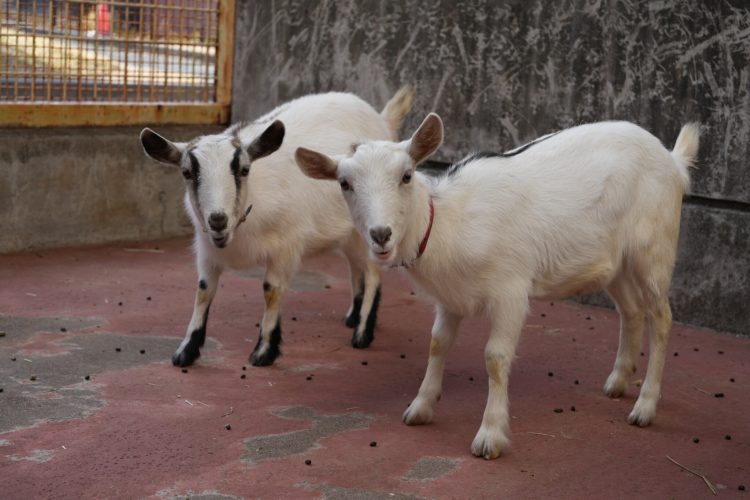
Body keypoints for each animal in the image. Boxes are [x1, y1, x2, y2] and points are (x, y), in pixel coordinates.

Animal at [139, 87, 414, 367]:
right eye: (186, 173)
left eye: (244, 169)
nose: (217, 220)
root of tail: (382, 120)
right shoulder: (207, 249)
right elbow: (204, 290)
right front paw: (186, 350)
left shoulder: (286, 247)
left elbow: (271, 290)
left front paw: (264, 351)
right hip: (348, 234)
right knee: (354, 267)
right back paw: (353, 317)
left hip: (370, 227)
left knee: (372, 273)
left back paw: (362, 333)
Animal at [295, 113, 699, 459]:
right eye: (344, 184)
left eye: (407, 175)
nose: (380, 235)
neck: (448, 223)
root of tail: (672, 160)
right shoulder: (450, 299)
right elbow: (437, 343)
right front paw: (420, 408)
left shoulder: (511, 291)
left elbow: (495, 358)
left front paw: (490, 436)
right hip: (614, 263)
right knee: (630, 310)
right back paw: (617, 382)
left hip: (654, 250)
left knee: (661, 318)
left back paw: (645, 406)